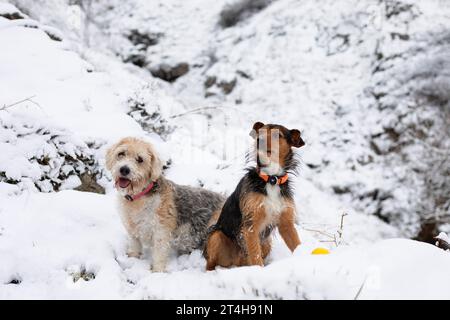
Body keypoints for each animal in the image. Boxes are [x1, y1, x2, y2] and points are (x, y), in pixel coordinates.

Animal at [106, 138, 225, 272]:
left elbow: (159, 253)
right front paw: (133, 258)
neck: (139, 198)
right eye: (121, 153)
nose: (124, 169)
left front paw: (157, 271)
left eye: (140, 159)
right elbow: (135, 246)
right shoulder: (133, 230)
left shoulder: (161, 231)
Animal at [205, 122, 306, 270]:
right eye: (261, 132)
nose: (260, 140)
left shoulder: (286, 223)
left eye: (278, 135)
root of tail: (237, 263)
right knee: (210, 263)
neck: (271, 179)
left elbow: (296, 244)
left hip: (266, 243)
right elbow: (255, 255)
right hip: (216, 237)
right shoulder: (251, 226)